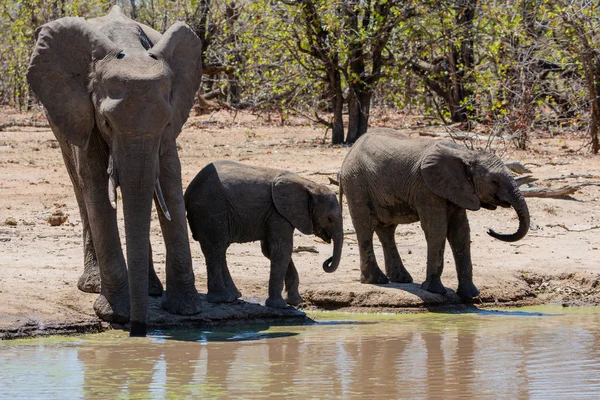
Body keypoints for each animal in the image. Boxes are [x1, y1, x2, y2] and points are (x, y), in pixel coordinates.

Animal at [25, 7, 203, 338]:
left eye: (165, 122)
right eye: (107, 123)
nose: (139, 330)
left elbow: (170, 181)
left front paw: (187, 310)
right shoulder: (84, 108)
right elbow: (95, 186)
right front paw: (115, 314)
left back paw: (150, 289)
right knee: (80, 188)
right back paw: (95, 286)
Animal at [183, 161, 342, 308]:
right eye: (329, 218)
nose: (327, 261)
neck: (308, 184)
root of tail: (189, 189)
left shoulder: (274, 214)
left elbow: (270, 251)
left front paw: (295, 302)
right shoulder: (278, 213)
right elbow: (282, 250)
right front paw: (279, 305)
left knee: (219, 249)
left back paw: (234, 295)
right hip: (211, 209)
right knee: (216, 248)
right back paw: (223, 299)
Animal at [338, 133, 528, 298]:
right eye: (494, 181)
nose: (490, 230)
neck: (465, 153)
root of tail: (350, 151)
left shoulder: (457, 190)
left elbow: (460, 233)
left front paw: (470, 295)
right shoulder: (426, 189)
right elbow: (437, 230)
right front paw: (434, 290)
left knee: (386, 230)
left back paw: (401, 279)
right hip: (356, 183)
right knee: (365, 228)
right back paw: (376, 280)